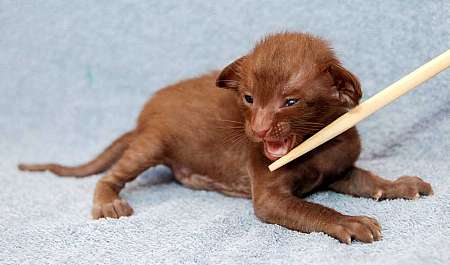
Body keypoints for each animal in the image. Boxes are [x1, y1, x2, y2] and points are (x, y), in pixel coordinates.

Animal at [19, 32, 434, 242]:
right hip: (151, 144)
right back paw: (109, 203)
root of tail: (142, 121)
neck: (315, 145)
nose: (259, 129)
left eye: (290, 102)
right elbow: (315, 210)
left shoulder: (340, 169)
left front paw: (399, 185)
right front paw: (347, 221)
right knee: (111, 176)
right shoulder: (268, 197)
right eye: (249, 98)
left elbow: (369, 180)